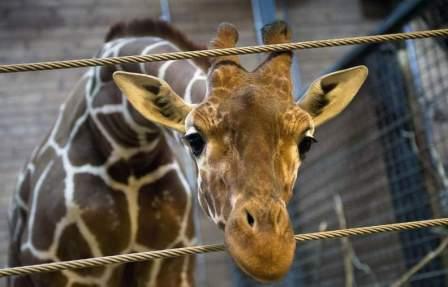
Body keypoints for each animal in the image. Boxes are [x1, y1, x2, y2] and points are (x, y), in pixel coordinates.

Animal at [9, 19, 368, 286]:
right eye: (194, 139)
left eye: (306, 141)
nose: (266, 251)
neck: (125, 144)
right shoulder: (65, 270)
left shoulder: (171, 264)